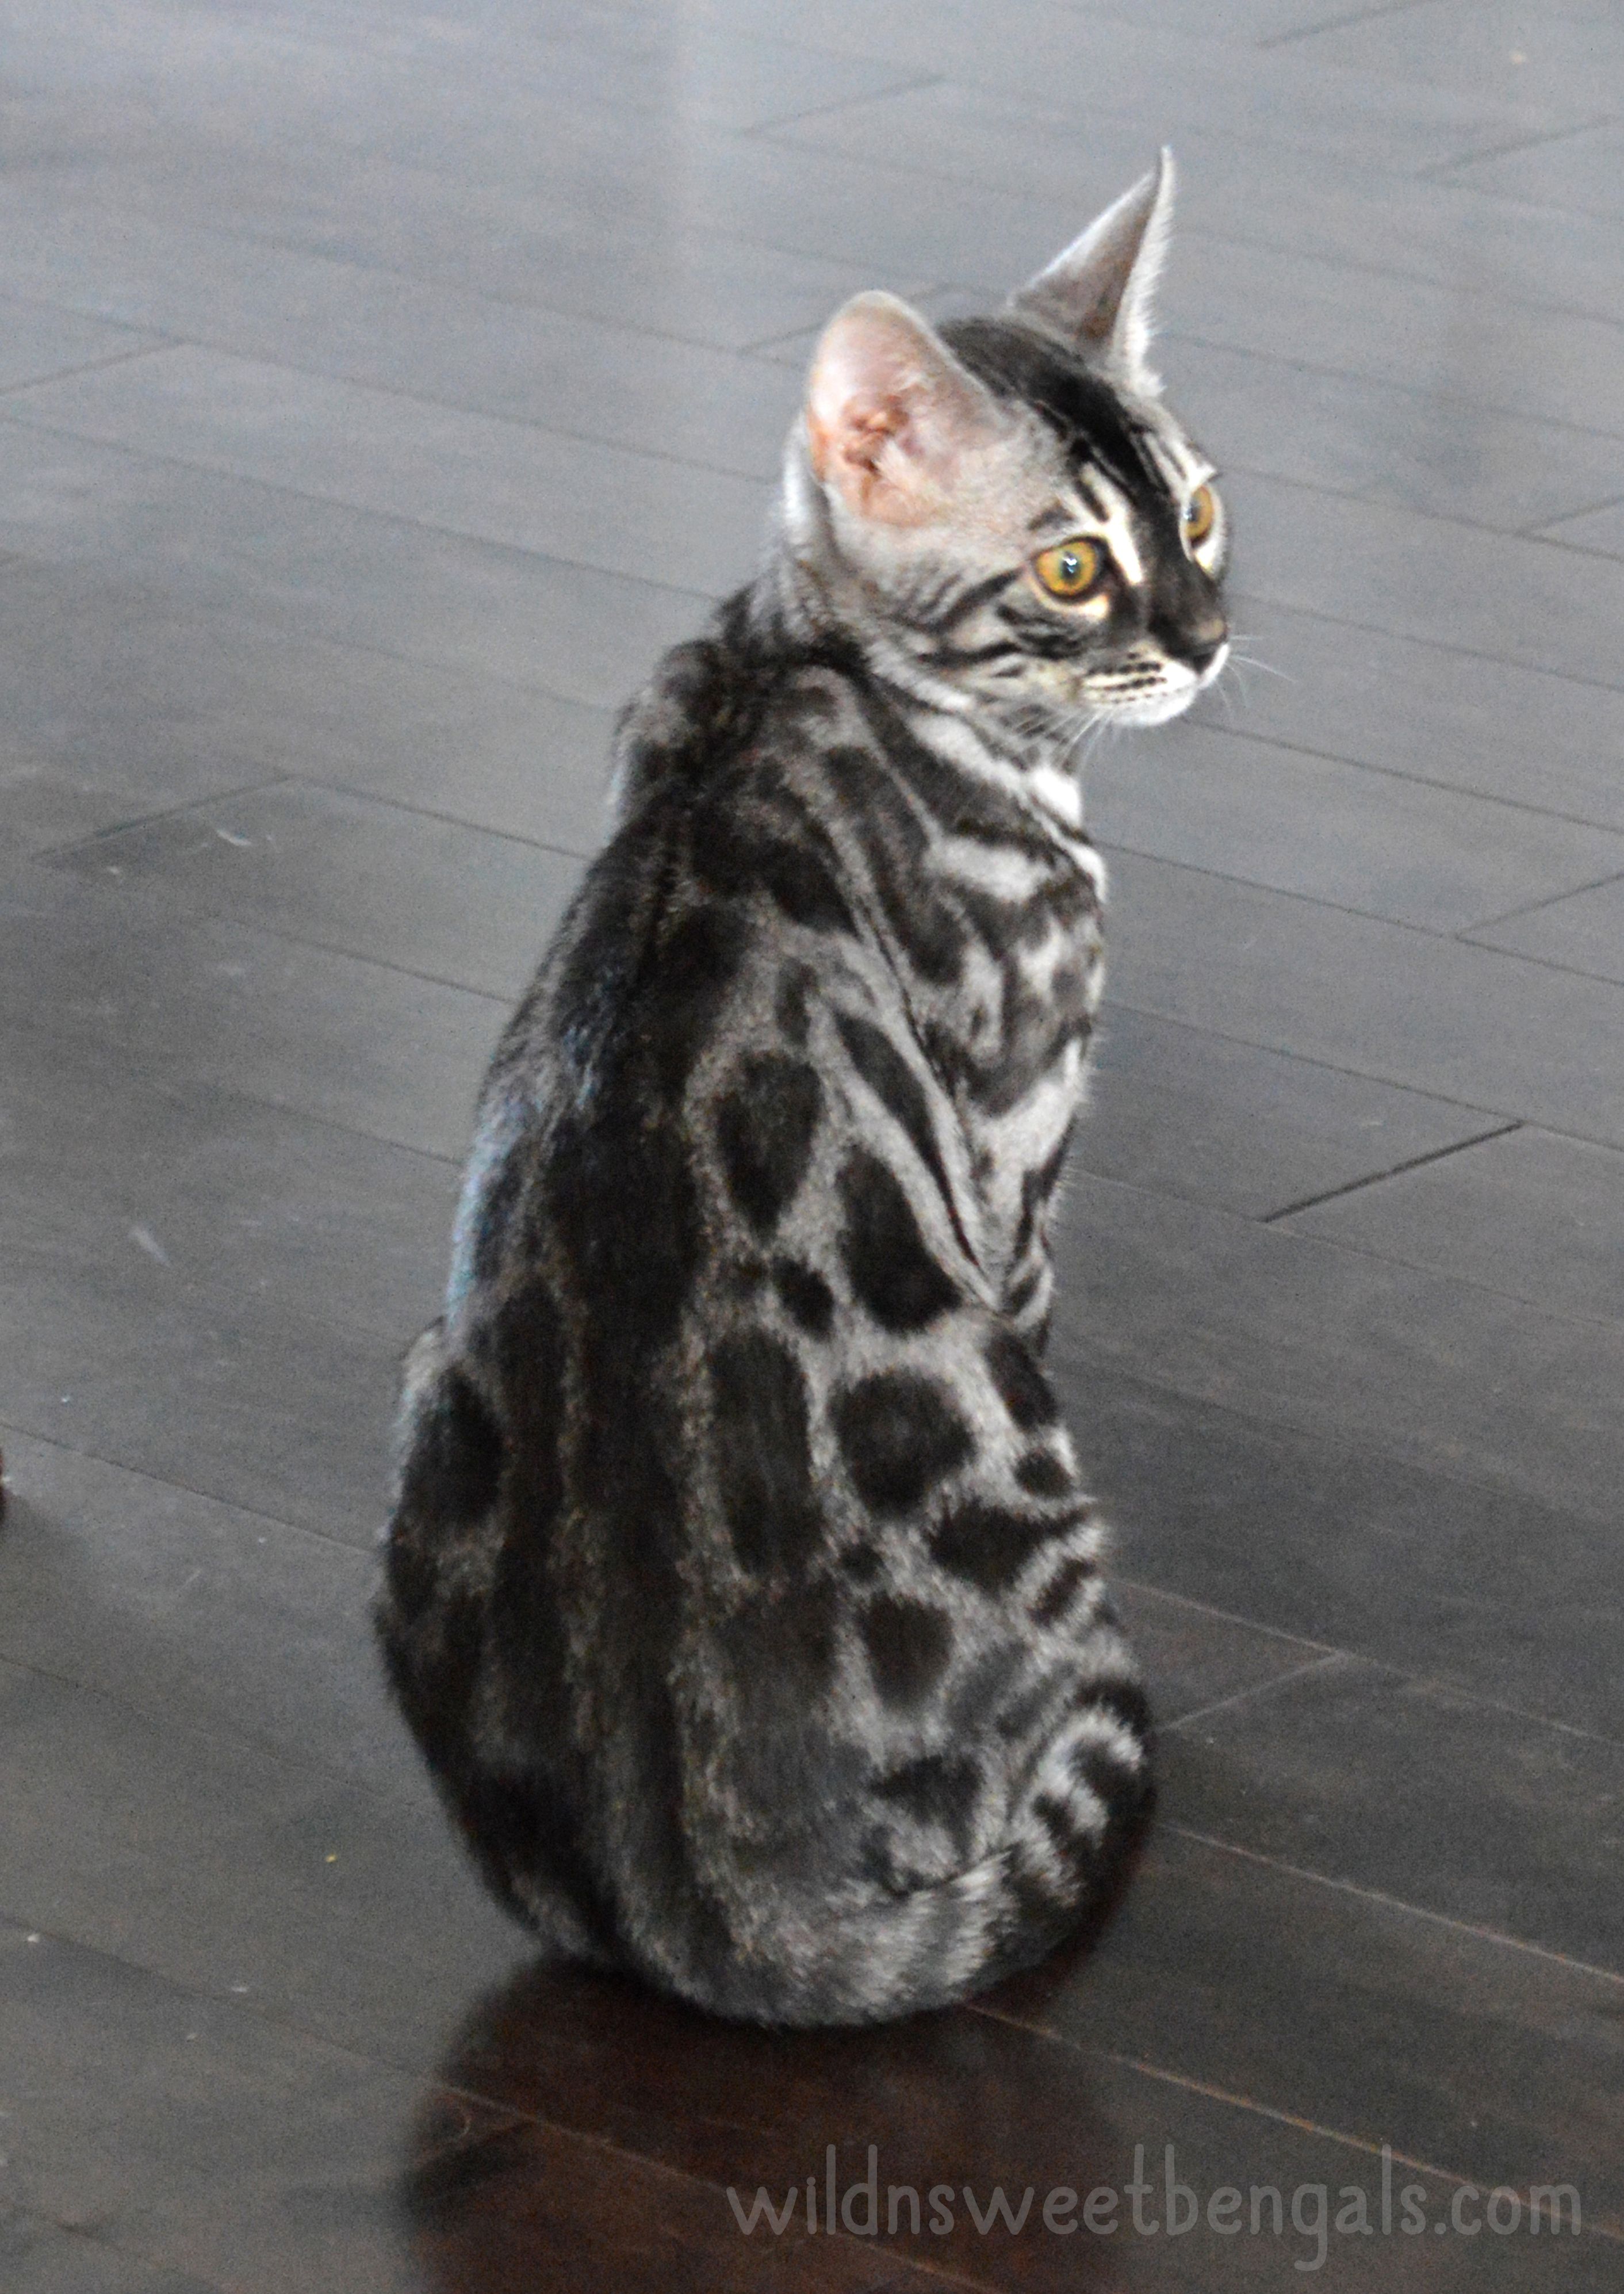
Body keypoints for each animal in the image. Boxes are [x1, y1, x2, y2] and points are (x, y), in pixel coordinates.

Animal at [376, 151, 1228, 2027]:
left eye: (1199, 514)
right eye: (1074, 567)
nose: (1208, 639)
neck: (800, 662)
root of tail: (718, 1904)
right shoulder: (1013, 1156)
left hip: (413, 1388)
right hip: (1027, 1451)